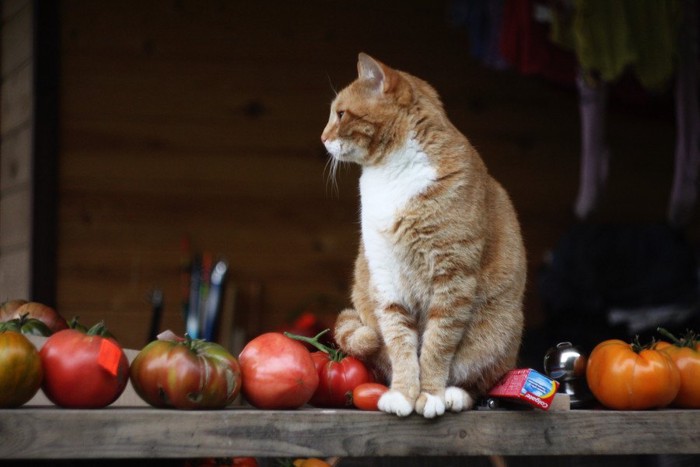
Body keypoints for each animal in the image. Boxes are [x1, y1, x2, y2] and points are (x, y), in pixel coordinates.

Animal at [322, 53, 524, 418]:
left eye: (340, 114)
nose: (322, 138)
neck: (389, 175)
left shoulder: (452, 277)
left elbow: (437, 344)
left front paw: (429, 394)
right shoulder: (386, 278)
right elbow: (400, 343)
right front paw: (404, 394)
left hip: (496, 334)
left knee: (477, 380)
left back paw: (454, 394)